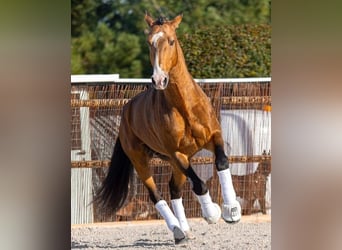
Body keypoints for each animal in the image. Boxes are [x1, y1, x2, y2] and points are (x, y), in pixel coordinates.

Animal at [95, 13, 242, 244]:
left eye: (171, 41)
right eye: (149, 43)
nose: (159, 79)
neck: (185, 106)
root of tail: (127, 111)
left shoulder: (212, 138)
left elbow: (222, 162)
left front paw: (231, 211)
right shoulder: (177, 153)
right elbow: (199, 184)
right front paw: (212, 214)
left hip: (177, 161)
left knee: (174, 189)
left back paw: (184, 230)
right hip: (142, 160)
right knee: (156, 194)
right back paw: (178, 230)